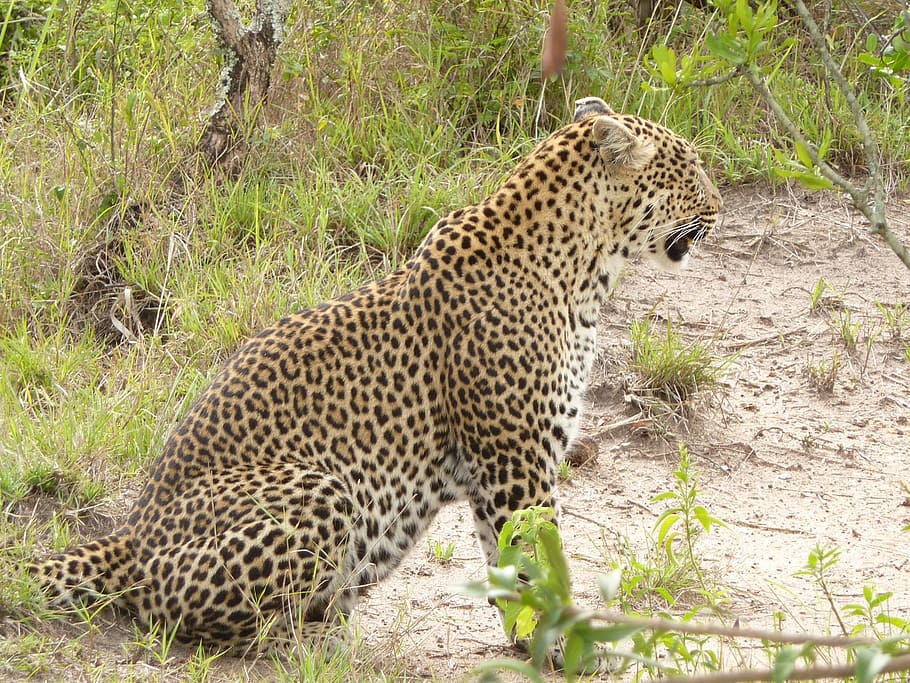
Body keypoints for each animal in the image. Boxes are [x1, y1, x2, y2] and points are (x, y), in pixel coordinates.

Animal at [31, 97, 722, 652]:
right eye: (688, 168)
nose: (718, 208)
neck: (586, 272)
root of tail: (129, 533)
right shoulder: (515, 462)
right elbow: (539, 562)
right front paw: (566, 646)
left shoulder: (497, 472)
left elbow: (507, 563)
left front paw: (529, 643)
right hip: (322, 491)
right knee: (176, 617)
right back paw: (308, 641)